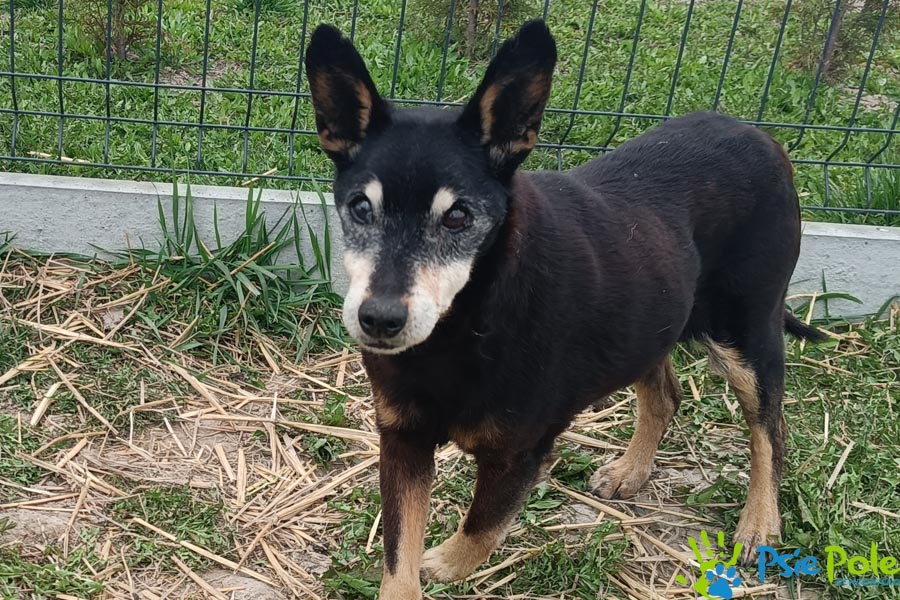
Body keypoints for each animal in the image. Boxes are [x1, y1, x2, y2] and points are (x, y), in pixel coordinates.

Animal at [305, 19, 825, 599]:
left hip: (746, 333)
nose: (379, 319)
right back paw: (630, 471)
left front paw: (445, 562)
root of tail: (761, 135)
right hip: (650, 317)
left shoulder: (520, 453)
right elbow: (399, 555)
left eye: (459, 216)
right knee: (666, 394)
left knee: (770, 430)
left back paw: (759, 524)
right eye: (360, 208)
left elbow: (482, 525)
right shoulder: (402, 439)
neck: (464, 326)